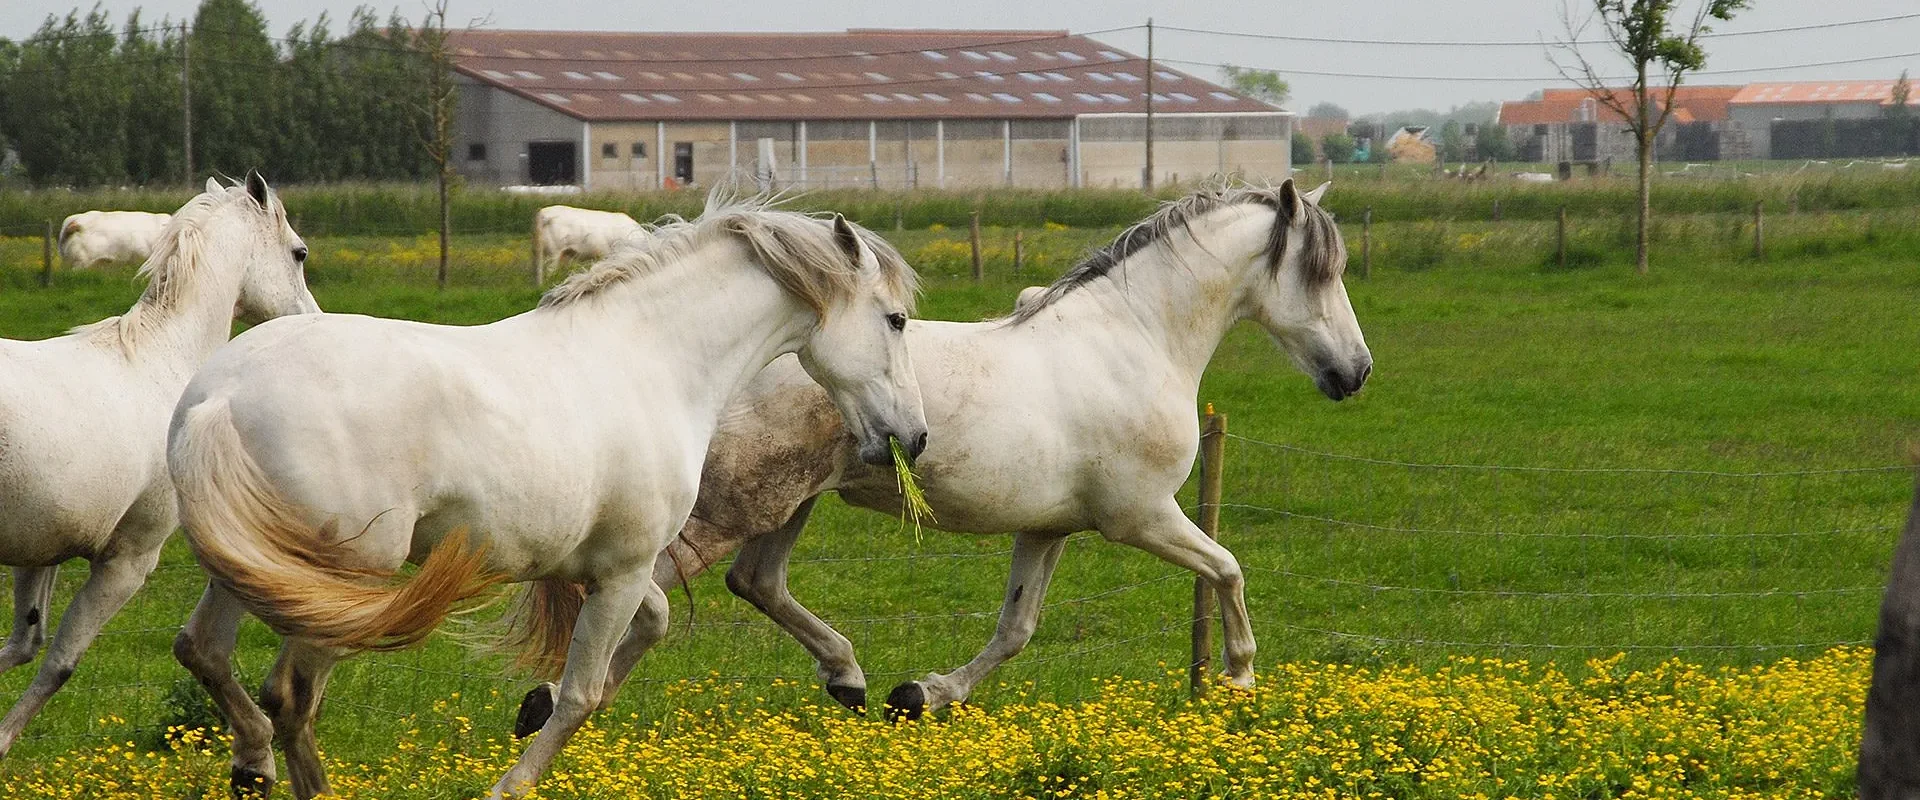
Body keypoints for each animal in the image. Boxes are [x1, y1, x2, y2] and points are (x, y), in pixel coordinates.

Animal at [0, 174, 317, 757]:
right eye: (298, 252)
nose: (312, 324)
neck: (160, 361)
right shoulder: (128, 560)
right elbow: (59, 664)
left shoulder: (38, 555)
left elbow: (22, 646)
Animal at [166, 196, 929, 800]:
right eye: (894, 320)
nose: (915, 437)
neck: (652, 357)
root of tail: (218, 399)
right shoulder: (623, 570)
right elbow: (582, 697)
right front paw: (510, 780)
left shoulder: (607, 567)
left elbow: (643, 633)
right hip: (340, 581)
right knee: (291, 696)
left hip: (247, 571)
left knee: (203, 650)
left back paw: (252, 767)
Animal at [512, 178, 1371, 728]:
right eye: (1322, 272)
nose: (1355, 373)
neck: (1135, 340)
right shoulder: (1142, 518)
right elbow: (1228, 568)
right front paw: (1239, 678)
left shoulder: (1049, 529)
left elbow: (1016, 628)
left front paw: (920, 694)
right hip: (737, 506)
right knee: (649, 590)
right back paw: (552, 700)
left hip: (789, 505)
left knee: (754, 583)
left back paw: (848, 678)